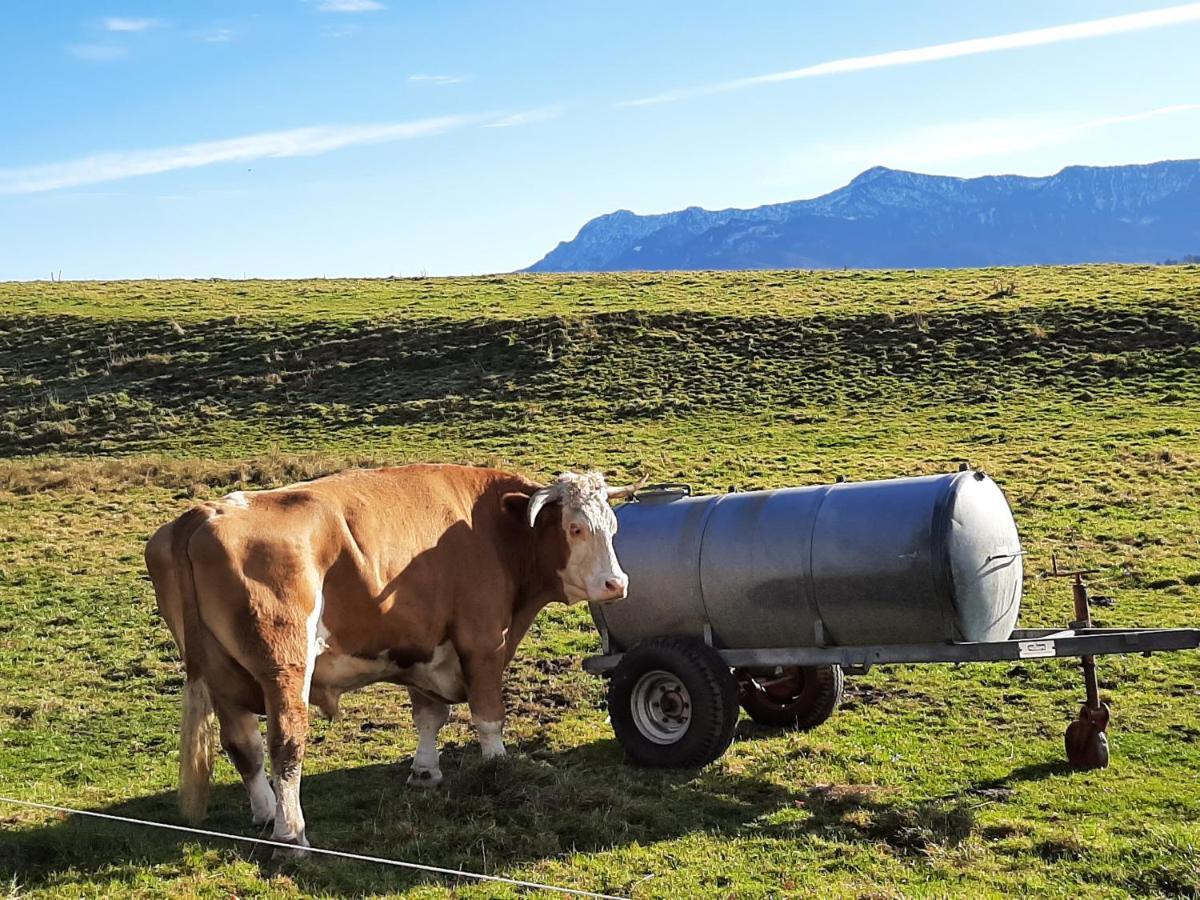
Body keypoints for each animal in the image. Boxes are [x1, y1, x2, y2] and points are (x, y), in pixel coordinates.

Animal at [147, 465, 638, 854]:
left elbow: (429, 716)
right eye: (575, 528)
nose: (617, 583)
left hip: (220, 675)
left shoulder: (423, 647)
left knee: (243, 746)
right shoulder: (482, 641)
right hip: (284, 668)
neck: (490, 529)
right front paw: (498, 767)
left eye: (613, 527)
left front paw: (425, 771)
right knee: (285, 745)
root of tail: (205, 513)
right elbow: (487, 716)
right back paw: (291, 834)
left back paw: (266, 813)